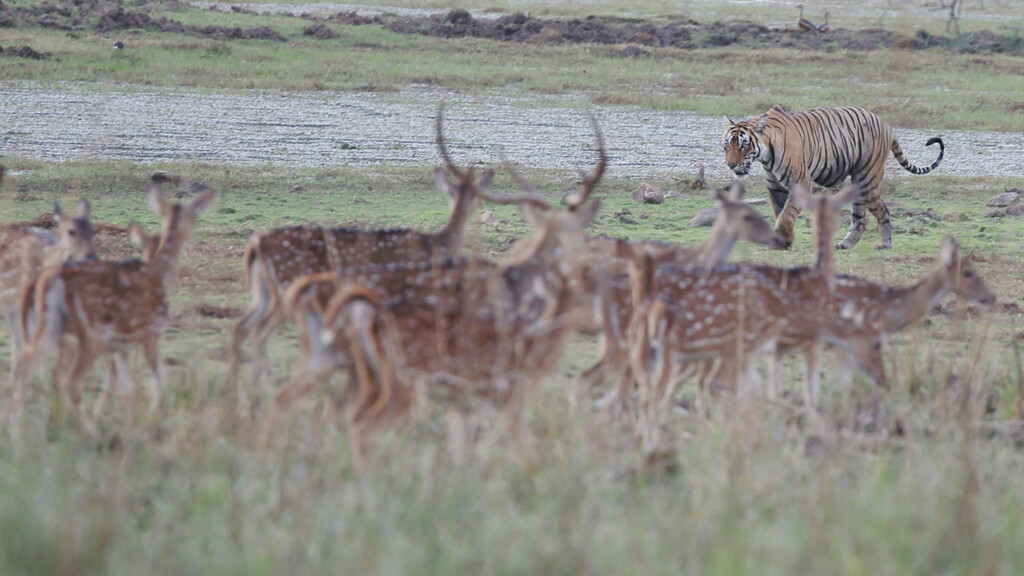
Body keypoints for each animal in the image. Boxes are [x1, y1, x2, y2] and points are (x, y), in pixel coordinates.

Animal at [9, 179, 215, 430]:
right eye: (194, 216)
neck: (159, 275)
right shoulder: (151, 331)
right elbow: (158, 376)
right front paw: (154, 418)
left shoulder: (120, 346)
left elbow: (128, 388)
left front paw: (133, 424)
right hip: (90, 333)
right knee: (69, 379)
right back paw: (87, 429)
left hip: (50, 327)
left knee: (27, 366)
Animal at [230, 103, 493, 391]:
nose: (482, 206)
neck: (437, 245)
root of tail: (256, 244)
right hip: (286, 284)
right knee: (260, 330)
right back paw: (264, 383)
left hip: (263, 290)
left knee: (241, 325)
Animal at [720, 105, 942, 249]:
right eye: (727, 146)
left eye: (744, 145)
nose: (731, 165)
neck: (765, 156)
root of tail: (886, 124)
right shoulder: (774, 188)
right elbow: (779, 212)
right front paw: (783, 242)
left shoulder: (800, 183)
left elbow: (785, 215)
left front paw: (783, 241)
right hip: (860, 184)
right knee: (863, 216)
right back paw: (848, 244)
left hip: (867, 179)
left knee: (880, 211)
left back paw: (884, 244)